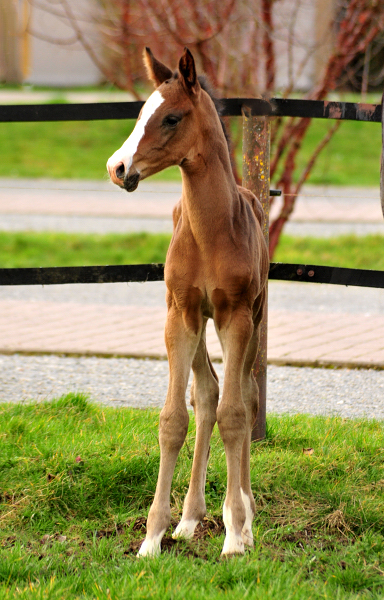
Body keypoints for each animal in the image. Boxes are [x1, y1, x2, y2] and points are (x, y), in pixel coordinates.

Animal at [106, 48, 268, 556]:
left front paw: (235, 536)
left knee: (245, 396)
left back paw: (244, 516)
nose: (118, 167)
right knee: (208, 392)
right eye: (140, 114)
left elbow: (235, 415)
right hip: (194, 321)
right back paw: (190, 517)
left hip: (254, 318)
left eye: (171, 118)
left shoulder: (236, 315)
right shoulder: (181, 314)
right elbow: (175, 417)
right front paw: (152, 536)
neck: (211, 230)